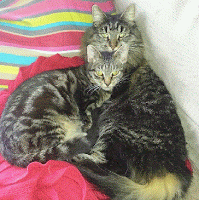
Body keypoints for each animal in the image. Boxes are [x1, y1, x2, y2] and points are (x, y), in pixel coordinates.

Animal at [0, 44, 128, 167]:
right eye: (99, 73)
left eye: (115, 73)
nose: (107, 83)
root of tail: (7, 152)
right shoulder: (83, 104)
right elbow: (87, 118)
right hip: (49, 126)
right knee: (64, 152)